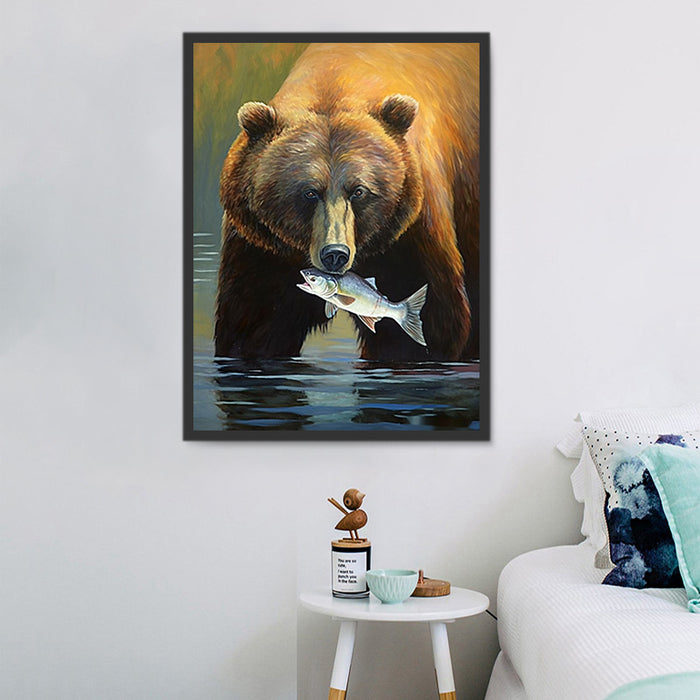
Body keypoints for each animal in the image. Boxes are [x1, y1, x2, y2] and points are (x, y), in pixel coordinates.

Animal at [215, 42, 481, 362]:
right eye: (309, 192)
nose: (335, 254)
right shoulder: (263, 246)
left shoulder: (409, 232)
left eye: (359, 191)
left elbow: (432, 324)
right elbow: (253, 320)